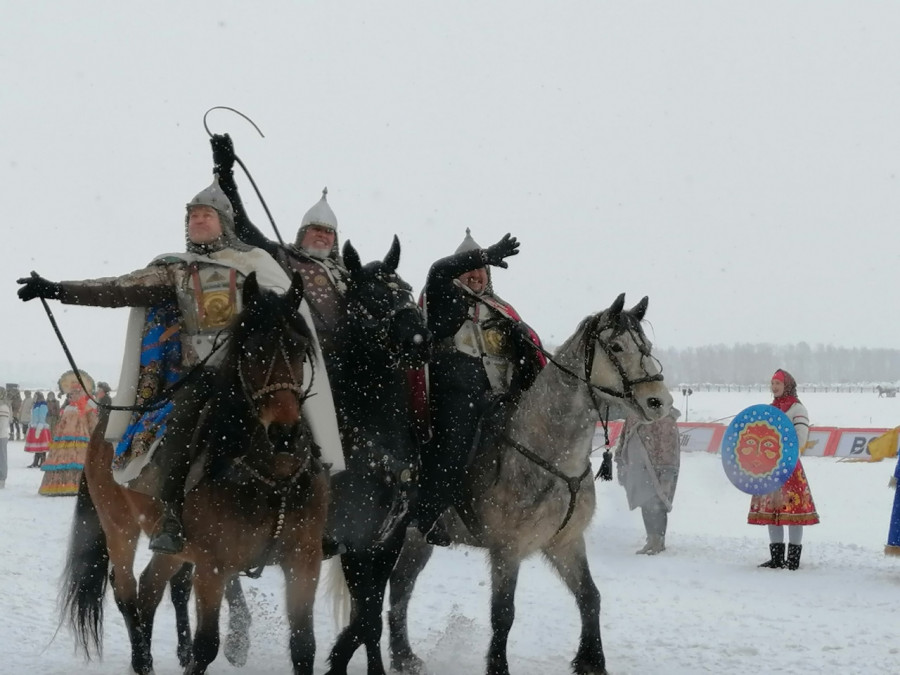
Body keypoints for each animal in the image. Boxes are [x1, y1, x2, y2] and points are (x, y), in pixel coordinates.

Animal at [62, 274, 330, 675]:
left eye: (298, 348)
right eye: (251, 350)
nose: (284, 432)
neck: (270, 479)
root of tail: (103, 422)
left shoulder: (304, 561)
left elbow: (304, 646)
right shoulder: (213, 566)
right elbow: (206, 645)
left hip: (171, 547)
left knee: (149, 588)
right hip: (119, 527)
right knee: (126, 591)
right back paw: (142, 662)